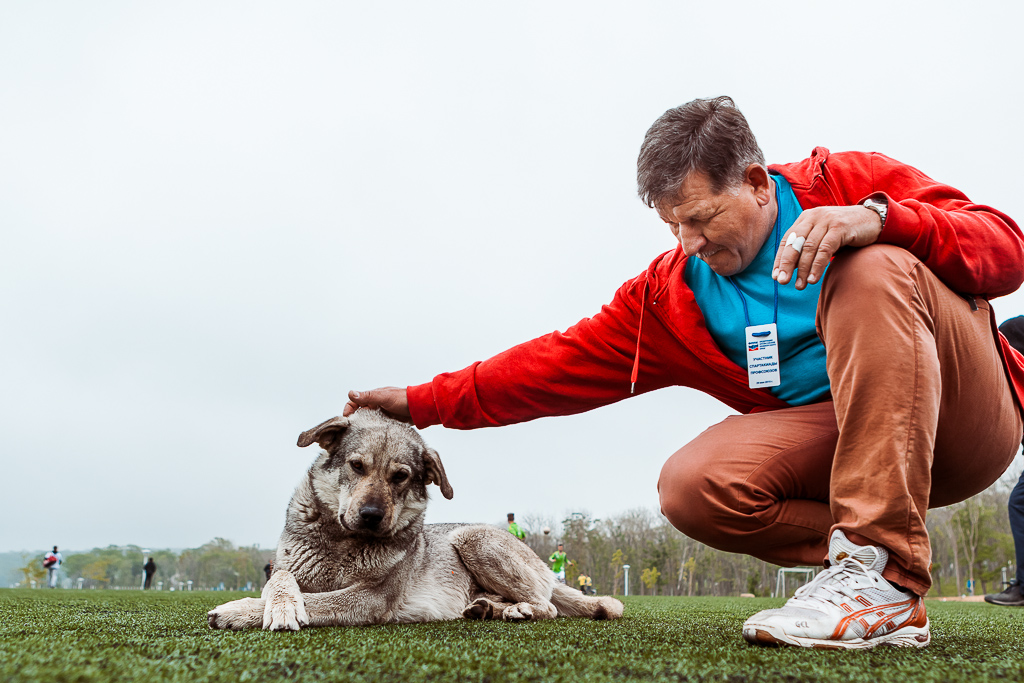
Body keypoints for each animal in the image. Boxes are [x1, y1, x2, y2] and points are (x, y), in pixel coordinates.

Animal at [207, 411, 622, 630]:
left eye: (401, 476)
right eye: (356, 466)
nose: (371, 515)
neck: (343, 542)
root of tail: (544, 566)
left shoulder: (371, 598)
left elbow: (316, 602)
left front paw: (238, 611)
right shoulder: (285, 568)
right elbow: (281, 581)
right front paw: (279, 604)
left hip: (472, 538)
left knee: (547, 605)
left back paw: (518, 609)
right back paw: (487, 608)